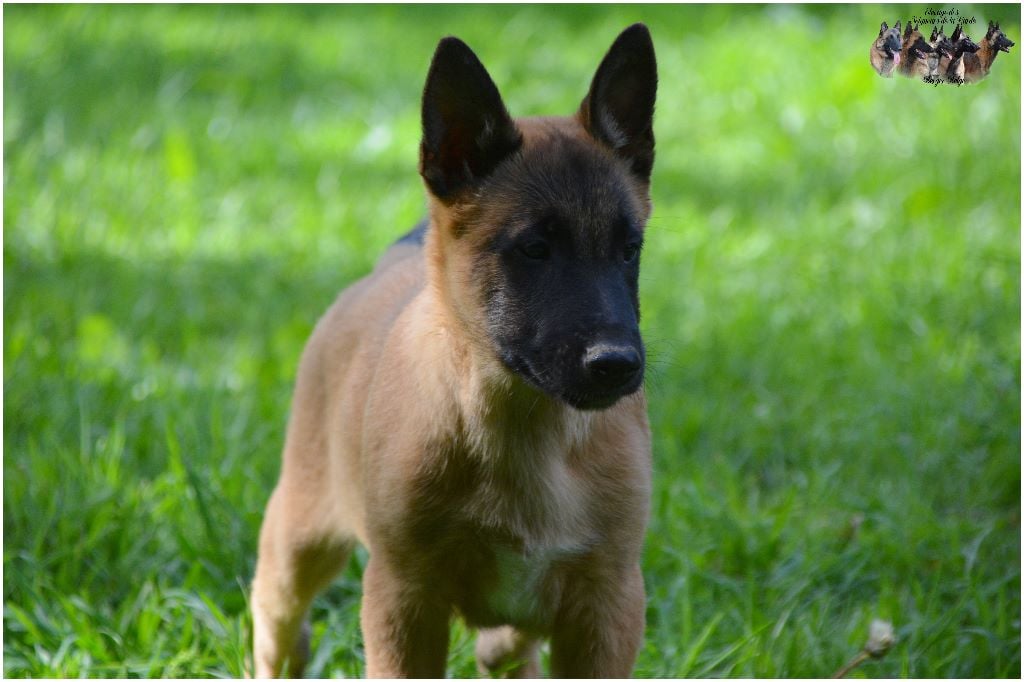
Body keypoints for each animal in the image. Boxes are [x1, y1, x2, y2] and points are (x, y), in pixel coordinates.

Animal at [251, 23, 657, 679]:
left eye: (629, 250)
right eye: (534, 249)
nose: (617, 366)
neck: (524, 430)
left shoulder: (608, 603)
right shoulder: (403, 598)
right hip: (299, 536)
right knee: (277, 620)